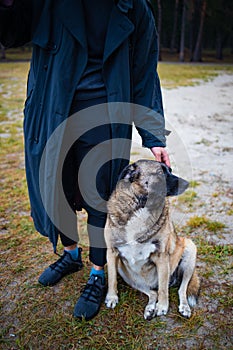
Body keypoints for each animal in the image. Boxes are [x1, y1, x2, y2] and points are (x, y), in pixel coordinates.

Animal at [104, 160, 199, 318]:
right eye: (161, 172)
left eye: (170, 170)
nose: (187, 183)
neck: (140, 207)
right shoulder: (111, 252)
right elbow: (112, 279)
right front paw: (111, 297)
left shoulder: (162, 257)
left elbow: (163, 289)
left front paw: (162, 306)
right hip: (128, 275)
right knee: (153, 293)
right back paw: (149, 309)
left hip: (190, 251)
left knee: (179, 289)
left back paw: (184, 307)